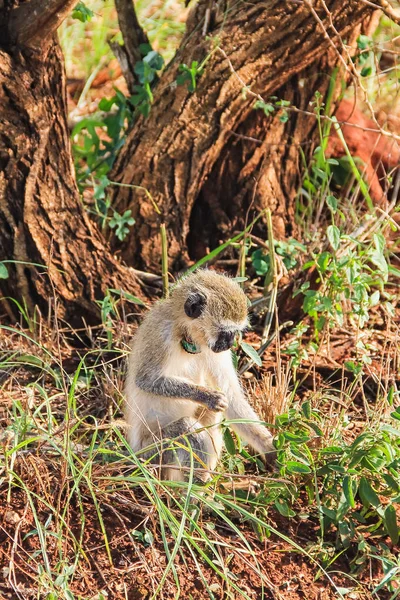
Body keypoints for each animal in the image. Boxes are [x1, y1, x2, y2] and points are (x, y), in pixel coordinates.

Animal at [125, 270, 276, 480]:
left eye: (234, 333)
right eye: (225, 333)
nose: (230, 344)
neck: (186, 333)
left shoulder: (215, 352)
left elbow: (232, 397)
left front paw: (270, 448)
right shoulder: (161, 334)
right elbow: (145, 380)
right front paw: (207, 396)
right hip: (151, 454)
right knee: (188, 430)